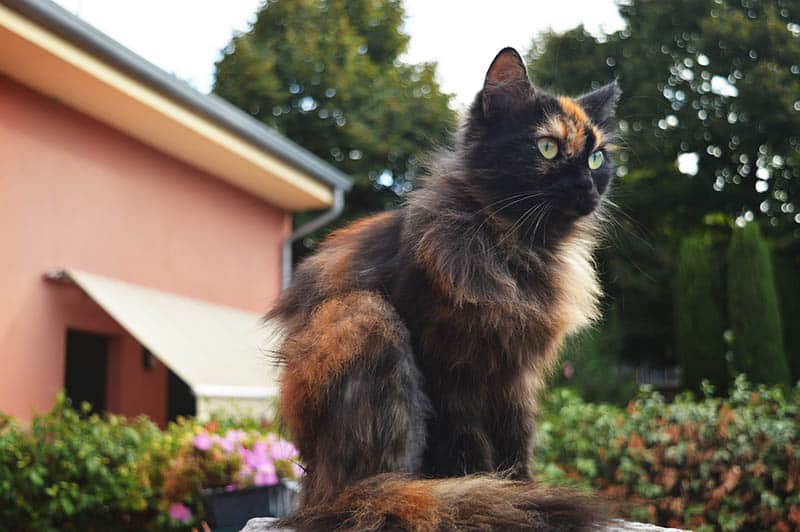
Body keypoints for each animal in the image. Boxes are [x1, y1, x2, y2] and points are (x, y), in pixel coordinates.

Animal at [268, 47, 620, 528]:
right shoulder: (450, 367)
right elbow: (467, 445)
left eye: (597, 158)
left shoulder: (515, 375)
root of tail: (313, 496)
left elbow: (518, 439)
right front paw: (489, 492)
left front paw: (519, 488)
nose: (587, 187)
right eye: (547, 147)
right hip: (364, 316)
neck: (514, 251)